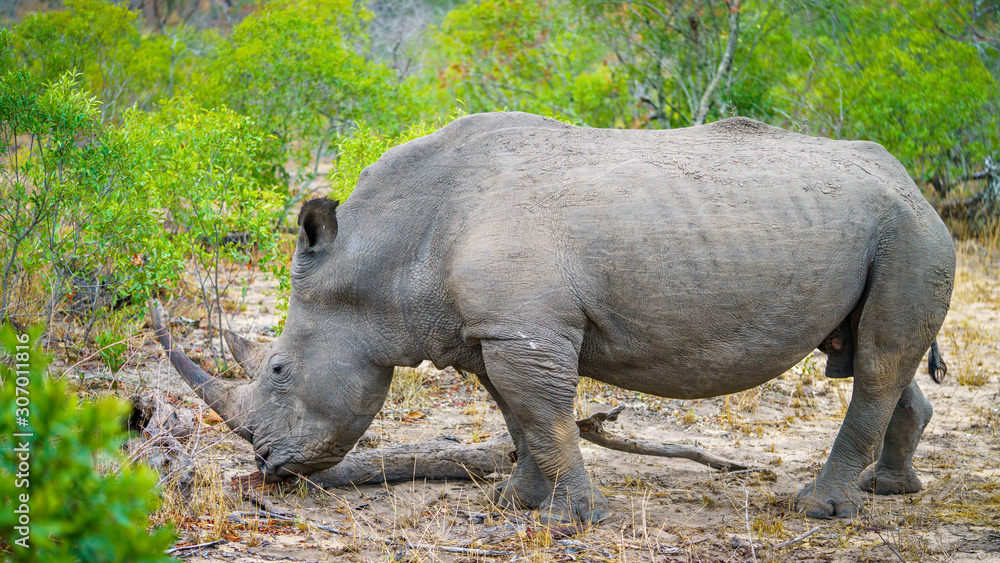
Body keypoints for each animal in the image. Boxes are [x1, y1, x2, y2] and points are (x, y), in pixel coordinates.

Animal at [151, 112, 954, 524]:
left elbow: (543, 415)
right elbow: (520, 416)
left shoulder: (524, 330)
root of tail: (914, 184)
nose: (265, 465)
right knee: (876, 355)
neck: (381, 256)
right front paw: (517, 501)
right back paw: (889, 491)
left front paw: (576, 520)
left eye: (279, 368)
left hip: (910, 233)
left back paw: (818, 509)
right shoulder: (491, 331)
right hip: (891, 228)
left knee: (877, 363)